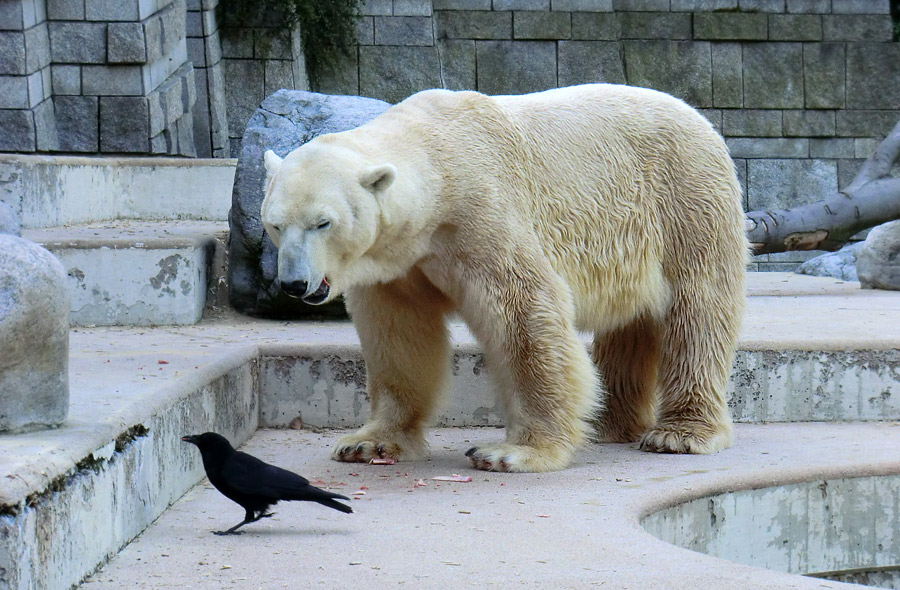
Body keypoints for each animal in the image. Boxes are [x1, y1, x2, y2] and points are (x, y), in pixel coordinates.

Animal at [264, 83, 748, 474]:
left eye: (323, 222)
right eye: (274, 224)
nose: (293, 284)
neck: (436, 159)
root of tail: (699, 118)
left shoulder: (479, 211)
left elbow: (526, 310)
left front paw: (515, 452)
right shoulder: (399, 263)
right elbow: (398, 335)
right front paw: (367, 442)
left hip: (686, 200)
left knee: (697, 310)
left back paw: (679, 433)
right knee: (631, 323)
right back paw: (608, 423)